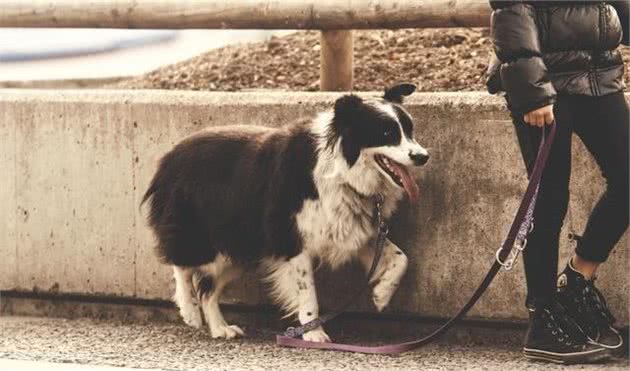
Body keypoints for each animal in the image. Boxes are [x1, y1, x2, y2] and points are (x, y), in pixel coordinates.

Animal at [143, 84, 430, 342]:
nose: (423, 156)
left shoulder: (352, 228)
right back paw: (190, 311)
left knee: (208, 289)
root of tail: (168, 158)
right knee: (181, 263)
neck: (342, 170)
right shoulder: (292, 238)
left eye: (410, 130)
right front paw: (314, 333)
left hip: (240, 245)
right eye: (387, 132)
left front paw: (381, 295)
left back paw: (220, 328)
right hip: (202, 231)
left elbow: (401, 258)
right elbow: (308, 292)